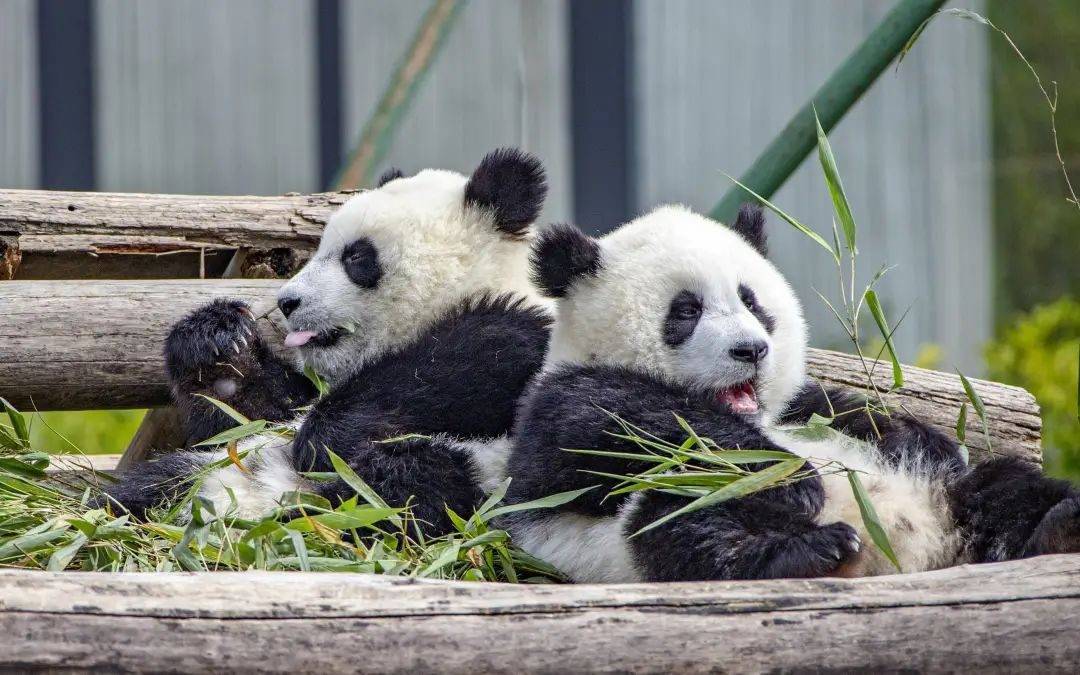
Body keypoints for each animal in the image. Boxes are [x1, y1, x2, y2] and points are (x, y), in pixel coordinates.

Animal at [105, 149, 552, 537]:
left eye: (356, 256)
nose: (286, 302)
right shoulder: (268, 420)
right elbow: (247, 414)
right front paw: (217, 341)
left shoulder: (530, 336)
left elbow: (477, 364)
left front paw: (321, 439)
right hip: (205, 470)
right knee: (147, 487)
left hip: (471, 475)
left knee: (405, 488)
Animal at [501, 203, 1080, 583]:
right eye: (686, 310)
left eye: (751, 301)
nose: (751, 350)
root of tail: (918, 551)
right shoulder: (556, 411)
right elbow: (620, 423)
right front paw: (794, 481)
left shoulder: (798, 410)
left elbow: (850, 414)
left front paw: (928, 438)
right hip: (621, 539)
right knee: (686, 521)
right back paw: (812, 551)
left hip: (940, 494)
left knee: (998, 489)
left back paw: (1060, 522)